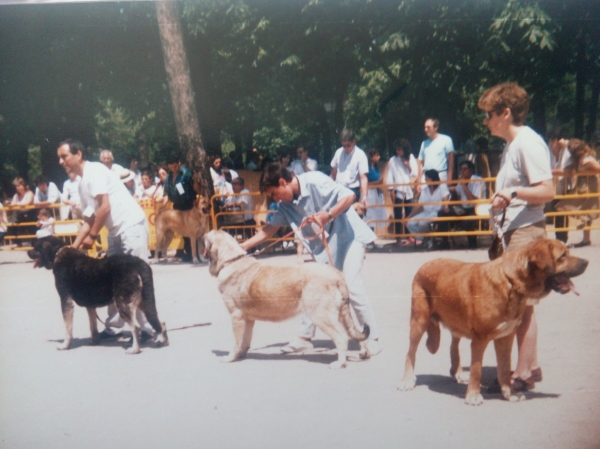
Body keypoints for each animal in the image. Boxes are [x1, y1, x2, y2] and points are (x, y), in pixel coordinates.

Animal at [28, 234, 169, 354]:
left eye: (36, 247)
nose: (27, 252)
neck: (57, 253)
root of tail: (140, 264)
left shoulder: (66, 300)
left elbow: (68, 328)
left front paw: (65, 345)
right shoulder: (90, 305)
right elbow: (93, 325)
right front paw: (94, 341)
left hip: (123, 302)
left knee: (136, 327)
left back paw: (135, 349)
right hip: (142, 301)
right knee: (160, 322)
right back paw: (163, 341)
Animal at [202, 229, 370, 370]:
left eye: (206, 239)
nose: (201, 233)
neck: (231, 260)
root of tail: (336, 274)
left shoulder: (236, 317)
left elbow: (236, 341)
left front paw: (230, 357)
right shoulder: (248, 319)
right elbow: (245, 340)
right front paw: (241, 354)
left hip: (320, 316)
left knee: (342, 338)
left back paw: (340, 363)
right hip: (339, 314)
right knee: (355, 332)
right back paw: (364, 353)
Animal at [398, 240, 584, 404]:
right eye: (563, 256)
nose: (586, 263)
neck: (511, 283)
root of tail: (426, 264)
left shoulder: (506, 338)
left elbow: (504, 368)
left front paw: (509, 394)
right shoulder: (480, 340)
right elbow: (476, 370)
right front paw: (473, 396)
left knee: (454, 344)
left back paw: (458, 372)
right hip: (419, 321)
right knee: (410, 352)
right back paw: (407, 380)